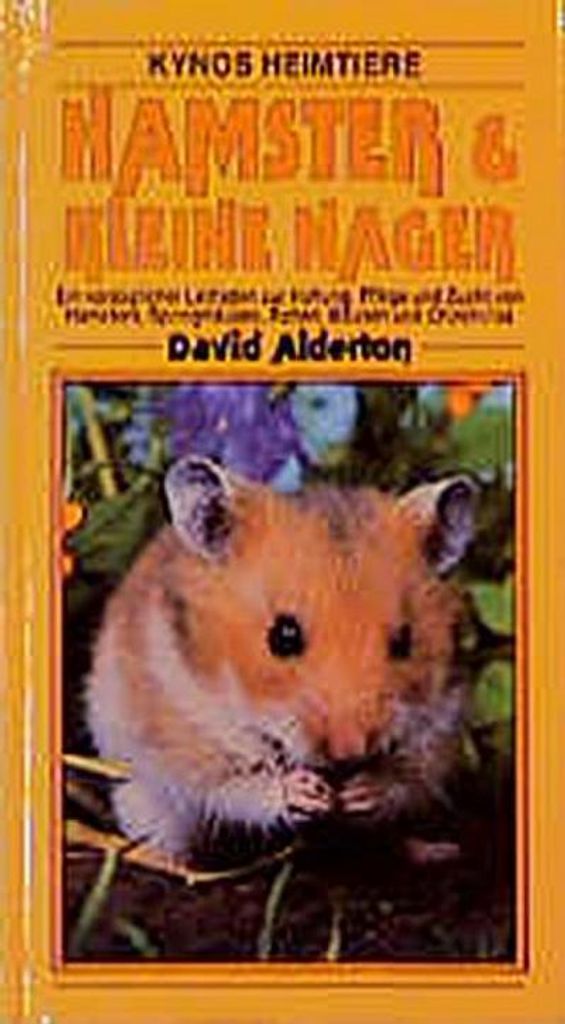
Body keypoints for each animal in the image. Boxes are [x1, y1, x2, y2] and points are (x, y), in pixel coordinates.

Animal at [87, 455, 476, 858]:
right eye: (283, 636)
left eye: (403, 642)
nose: (350, 751)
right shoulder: (189, 737)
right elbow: (238, 787)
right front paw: (307, 792)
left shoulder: (439, 731)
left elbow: (403, 781)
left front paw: (362, 791)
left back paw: (435, 849)